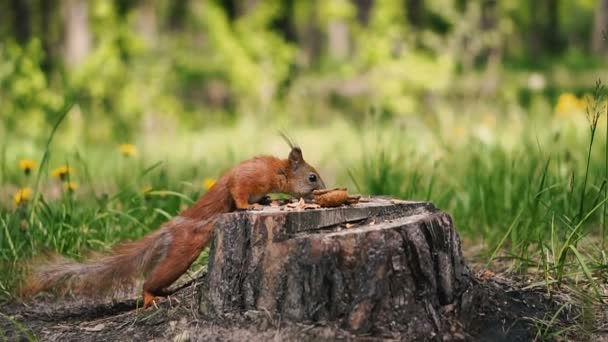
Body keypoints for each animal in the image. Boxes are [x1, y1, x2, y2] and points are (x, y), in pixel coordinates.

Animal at [22, 144, 328, 308]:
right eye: (312, 177)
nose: (322, 189)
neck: (277, 171)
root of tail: (171, 228)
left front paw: (267, 200)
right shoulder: (247, 178)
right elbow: (238, 193)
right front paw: (251, 206)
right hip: (181, 255)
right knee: (151, 280)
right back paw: (150, 297)